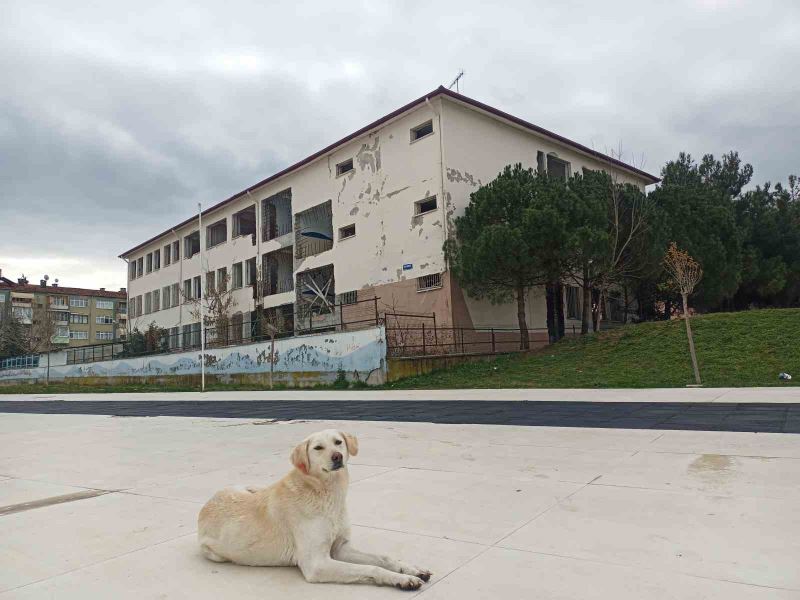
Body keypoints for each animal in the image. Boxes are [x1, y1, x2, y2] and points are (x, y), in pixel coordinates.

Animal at [196, 426, 432, 592]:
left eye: (338, 442)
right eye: (318, 448)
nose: (337, 456)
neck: (328, 494)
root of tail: (206, 505)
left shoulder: (340, 548)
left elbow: (384, 558)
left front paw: (411, 569)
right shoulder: (317, 564)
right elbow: (371, 568)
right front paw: (401, 579)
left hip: (245, 486)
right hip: (215, 554)